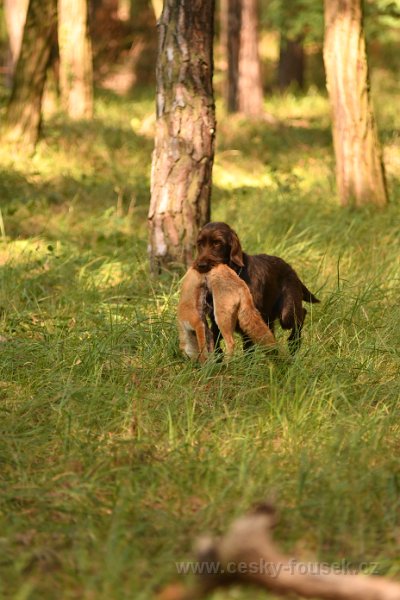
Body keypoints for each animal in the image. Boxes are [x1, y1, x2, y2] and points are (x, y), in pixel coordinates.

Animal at [192, 223, 320, 354]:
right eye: (200, 243)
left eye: (217, 243)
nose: (201, 265)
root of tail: (291, 269)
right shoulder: (217, 321)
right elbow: (215, 342)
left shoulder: (249, 320)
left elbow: (248, 350)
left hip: (287, 313)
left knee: (301, 314)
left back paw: (294, 343)